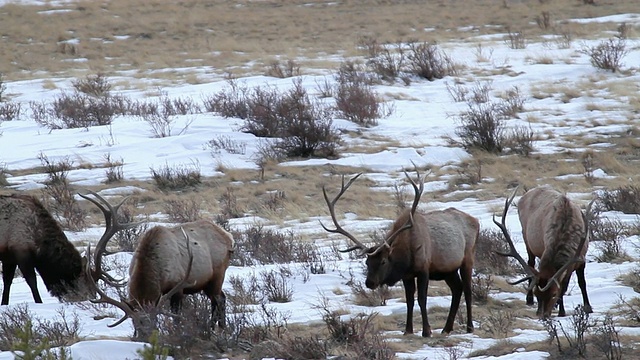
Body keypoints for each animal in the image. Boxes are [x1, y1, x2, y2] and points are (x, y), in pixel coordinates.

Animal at [0, 190, 136, 306]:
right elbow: (32, 281)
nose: (91, 299)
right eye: (89, 284)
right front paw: (39, 303)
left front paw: (4, 304)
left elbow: (7, 282)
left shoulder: (9, 257)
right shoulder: (21, 250)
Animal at [322, 170, 478, 336]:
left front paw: (426, 331)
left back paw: (469, 327)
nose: (370, 282)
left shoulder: (424, 269)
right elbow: (409, 301)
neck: (407, 255)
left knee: (468, 290)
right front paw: (408, 330)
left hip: (468, 258)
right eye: (367, 262)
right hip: (448, 269)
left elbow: (422, 299)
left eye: (383, 261)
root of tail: (476, 220)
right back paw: (446, 328)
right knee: (457, 289)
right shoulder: (407, 275)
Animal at [496, 187, 596, 320]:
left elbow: (580, 283)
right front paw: (561, 311)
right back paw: (529, 299)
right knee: (531, 263)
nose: (542, 315)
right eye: (536, 293)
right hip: (526, 238)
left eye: (553, 294)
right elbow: (564, 285)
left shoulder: (581, 258)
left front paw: (587, 308)